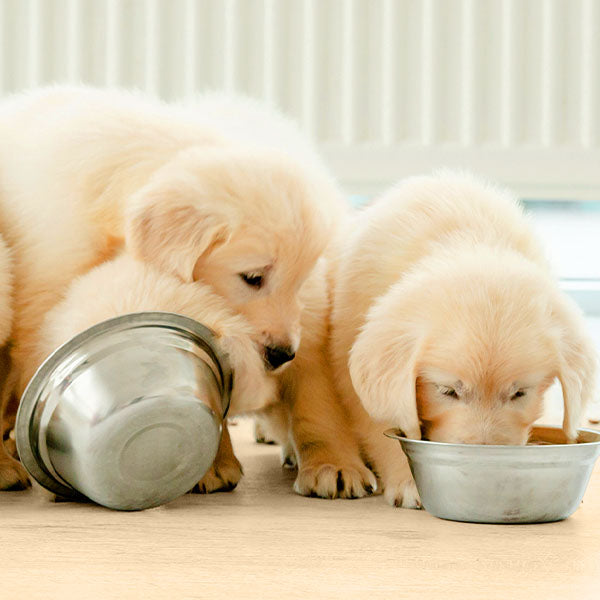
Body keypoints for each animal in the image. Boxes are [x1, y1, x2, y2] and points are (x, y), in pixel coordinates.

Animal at [294, 172, 596, 506]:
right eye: (447, 391)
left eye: (520, 394)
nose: (483, 462)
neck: (468, 238)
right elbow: (388, 424)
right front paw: (410, 481)